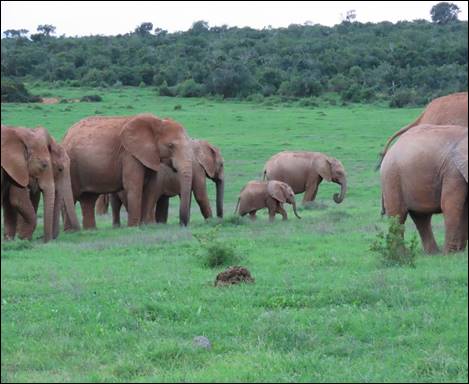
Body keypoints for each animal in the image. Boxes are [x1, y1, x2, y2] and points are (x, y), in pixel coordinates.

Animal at [61, 113, 193, 228]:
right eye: (171, 146)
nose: (182, 224)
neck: (157, 122)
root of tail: (65, 135)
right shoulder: (129, 155)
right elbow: (134, 186)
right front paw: (133, 227)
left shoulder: (149, 156)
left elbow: (151, 188)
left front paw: (145, 225)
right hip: (71, 167)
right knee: (72, 196)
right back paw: (71, 231)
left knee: (88, 199)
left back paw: (90, 230)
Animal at [95, 138, 225, 226]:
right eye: (222, 164)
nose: (220, 218)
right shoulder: (198, 168)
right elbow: (200, 195)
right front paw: (210, 221)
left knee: (116, 203)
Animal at [382, 124, 466, 254]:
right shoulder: (454, 171)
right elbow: (451, 205)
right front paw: (450, 254)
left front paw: (460, 252)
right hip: (391, 177)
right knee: (398, 215)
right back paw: (401, 254)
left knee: (421, 217)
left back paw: (433, 253)